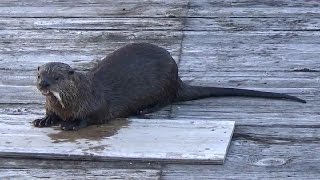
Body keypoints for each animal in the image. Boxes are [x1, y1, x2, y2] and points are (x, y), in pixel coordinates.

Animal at [33, 43, 306, 131]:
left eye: (56, 77)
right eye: (40, 75)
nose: (44, 84)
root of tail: (177, 79)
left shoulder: (95, 104)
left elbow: (92, 117)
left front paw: (71, 124)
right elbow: (50, 113)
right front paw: (43, 120)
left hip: (162, 86)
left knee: (166, 100)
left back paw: (144, 110)